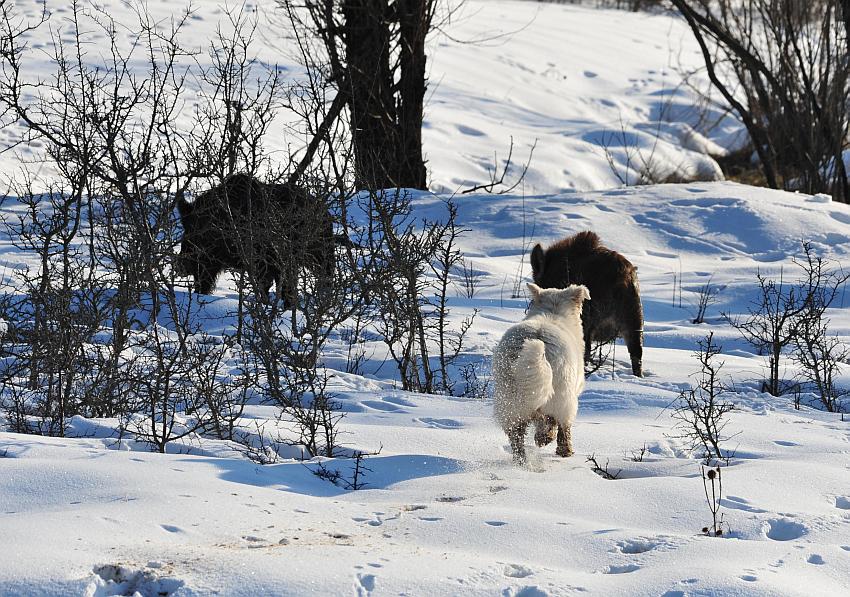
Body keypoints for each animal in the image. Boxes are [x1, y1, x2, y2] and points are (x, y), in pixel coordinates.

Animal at [494, 282, 588, 464]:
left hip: (510, 400)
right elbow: (561, 426)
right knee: (556, 421)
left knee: (516, 435)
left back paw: (522, 460)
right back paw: (556, 445)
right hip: (561, 395)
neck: (553, 311)